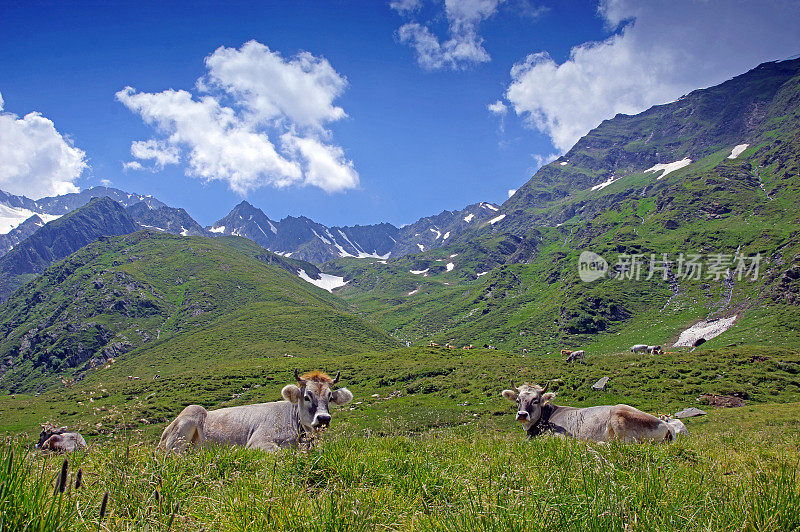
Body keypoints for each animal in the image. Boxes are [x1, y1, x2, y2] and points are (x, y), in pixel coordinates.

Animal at [159, 370, 354, 454]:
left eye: (330, 397)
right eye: (307, 396)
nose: (324, 418)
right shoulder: (258, 441)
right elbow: (280, 453)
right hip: (189, 418)